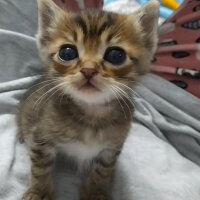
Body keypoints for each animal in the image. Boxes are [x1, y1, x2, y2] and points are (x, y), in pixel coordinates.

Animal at [17, 0, 159, 200]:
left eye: (116, 55)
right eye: (67, 53)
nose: (88, 70)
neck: (93, 114)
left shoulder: (112, 147)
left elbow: (103, 170)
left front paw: (95, 192)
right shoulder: (41, 137)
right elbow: (40, 168)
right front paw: (39, 192)